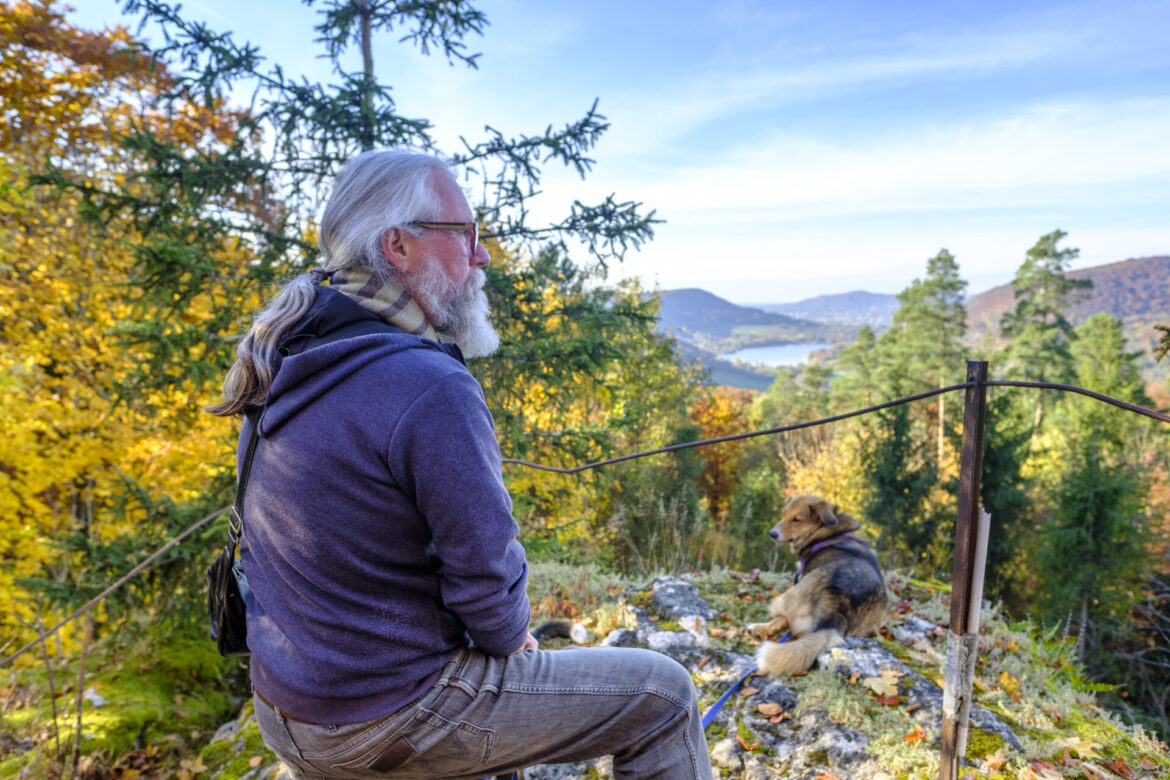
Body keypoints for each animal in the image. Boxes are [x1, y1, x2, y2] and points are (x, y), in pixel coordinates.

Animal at [748, 498, 884, 673]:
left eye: (796, 519)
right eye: (783, 514)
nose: (772, 534)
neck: (827, 534)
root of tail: (837, 607)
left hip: (785, 597)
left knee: (781, 621)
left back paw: (758, 628)